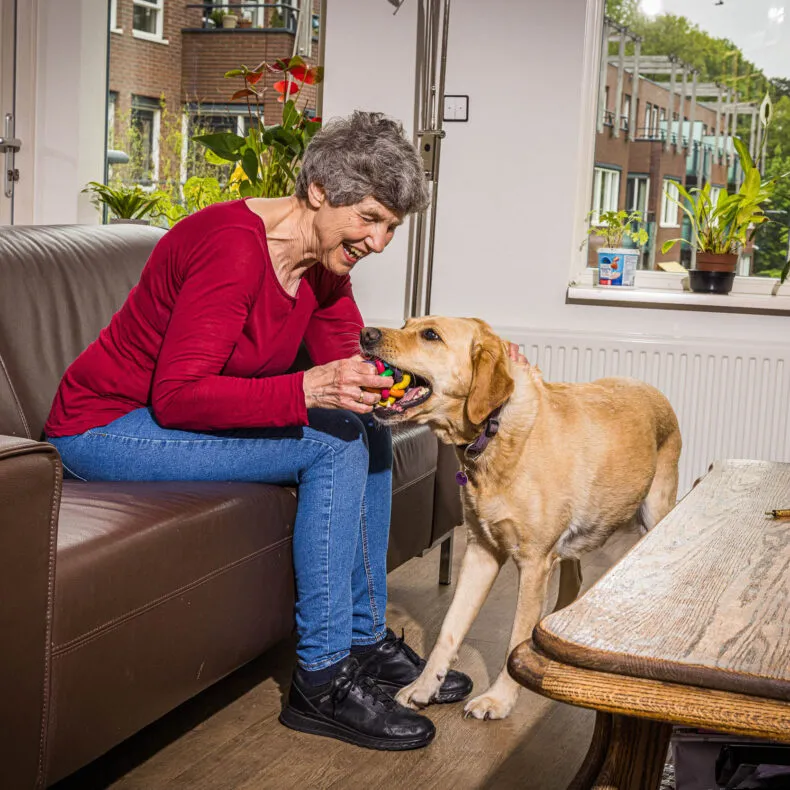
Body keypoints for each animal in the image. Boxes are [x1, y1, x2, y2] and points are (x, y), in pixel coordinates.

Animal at [362, 318, 684, 724]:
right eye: (407, 324)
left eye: (430, 335)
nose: (366, 334)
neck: (495, 432)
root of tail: (653, 390)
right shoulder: (481, 552)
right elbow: (450, 628)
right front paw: (423, 688)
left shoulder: (533, 563)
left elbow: (514, 637)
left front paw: (498, 700)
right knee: (574, 577)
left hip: (654, 515)